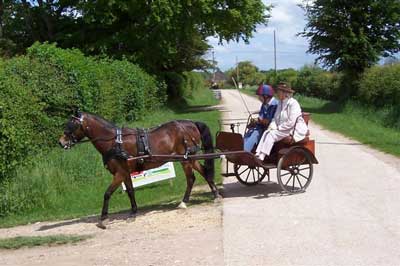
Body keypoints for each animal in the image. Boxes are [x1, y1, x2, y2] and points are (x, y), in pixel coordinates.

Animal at [59, 110, 222, 229]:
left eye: (72, 124)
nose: (61, 142)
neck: (114, 142)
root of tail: (191, 123)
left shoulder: (119, 173)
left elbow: (107, 193)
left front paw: (103, 218)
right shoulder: (125, 172)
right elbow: (130, 191)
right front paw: (133, 212)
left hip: (186, 158)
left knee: (191, 178)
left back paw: (185, 202)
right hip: (190, 158)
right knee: (204, 172)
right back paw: (215, 195)